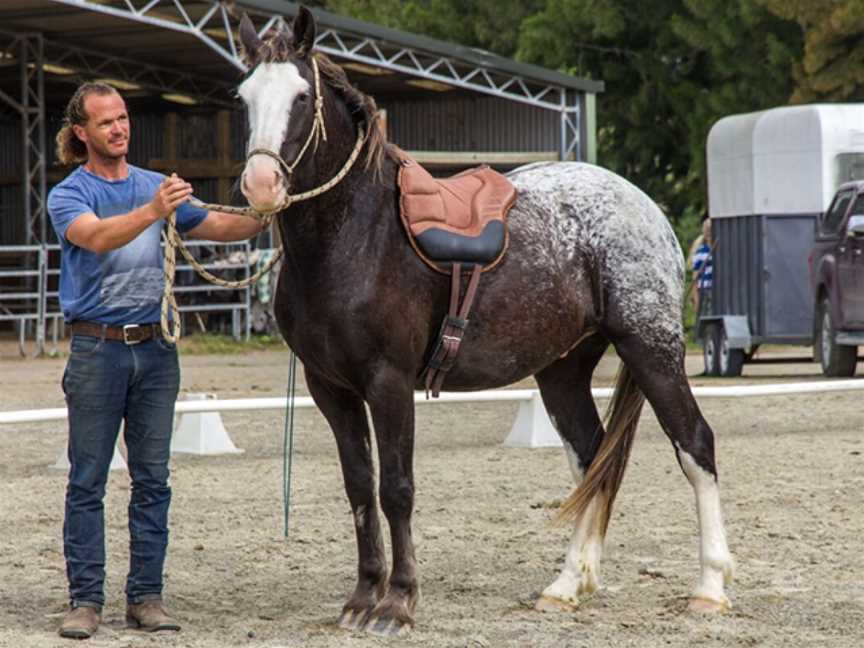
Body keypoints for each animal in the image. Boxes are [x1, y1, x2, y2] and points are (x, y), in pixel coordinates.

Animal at [233, 7, 732, 636]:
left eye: (301, 97)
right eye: (244, 96)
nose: (260, 186)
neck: (355, 235)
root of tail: (644, 207)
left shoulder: (388, 382)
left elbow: (396, 489)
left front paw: (397, 604)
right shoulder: (332, 390)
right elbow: (360, 488)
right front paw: (362, 597)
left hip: (652, 348)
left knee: (694, 445)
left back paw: (710, 587)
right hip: (563, 371)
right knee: (591, 458)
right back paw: (568, 584)